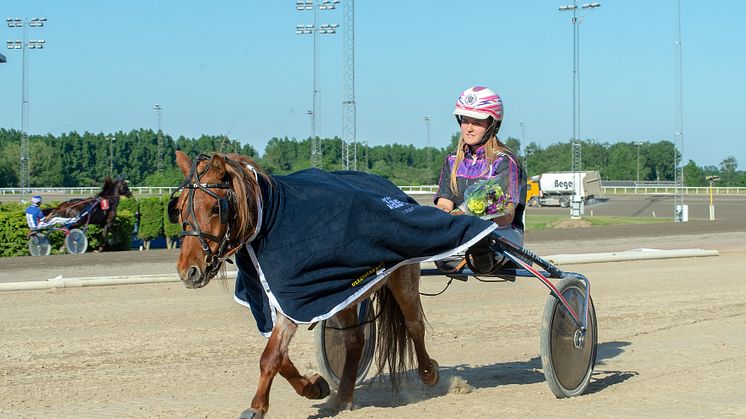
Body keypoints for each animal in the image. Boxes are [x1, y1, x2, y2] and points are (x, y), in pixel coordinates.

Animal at [169, 152, 436, 419]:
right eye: (179, 208)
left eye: (216, 208)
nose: (188, 271)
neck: (268, 222)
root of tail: (394, 190)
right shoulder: (276, 301)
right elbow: (281, 356)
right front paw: (314, 386)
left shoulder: (294, 298)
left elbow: (271, 356)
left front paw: (257, 407)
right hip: (341, 294)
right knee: (354, 340)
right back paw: (343, 398)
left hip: (402, 276)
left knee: (414, 325)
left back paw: (428, 372)